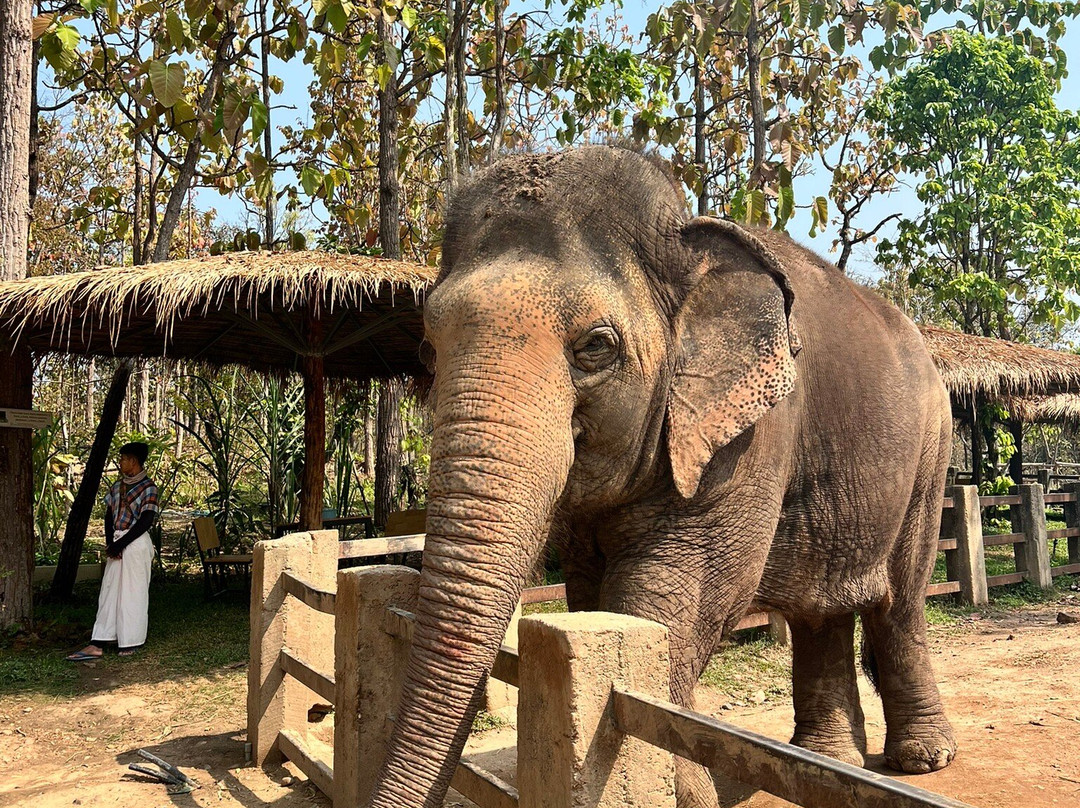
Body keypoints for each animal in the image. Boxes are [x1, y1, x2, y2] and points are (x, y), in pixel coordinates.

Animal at [364, 145, 956, 808]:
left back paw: (922, 759)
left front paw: (683, 792)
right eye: (429, 348)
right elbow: (592, 587)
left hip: (932, 451)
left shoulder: (751, 433)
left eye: (596, 346)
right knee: (819, 610)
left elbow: (682, 589)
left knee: (901, 599)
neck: (684, 236)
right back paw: (827, 762)